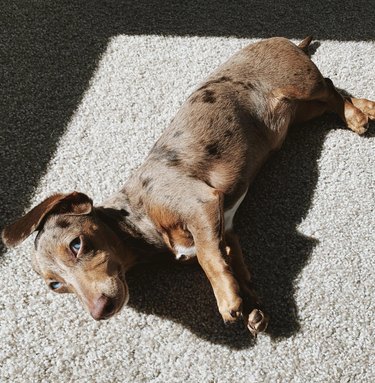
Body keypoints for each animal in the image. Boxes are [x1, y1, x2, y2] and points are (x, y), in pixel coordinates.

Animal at [1, 36, 374, 336]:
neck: (139, 219)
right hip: (304, 110)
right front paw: (251, 304)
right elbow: (234, 265)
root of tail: (286, 41)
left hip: (302, 85)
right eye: (55, 285)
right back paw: (367, 108)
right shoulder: (227, 231)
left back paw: (356, 117)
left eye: (77, 245)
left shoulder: (201, 204)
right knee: (335, 92)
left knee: (330, 85)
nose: (100, 311)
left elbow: (208, 258)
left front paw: (227, 300)